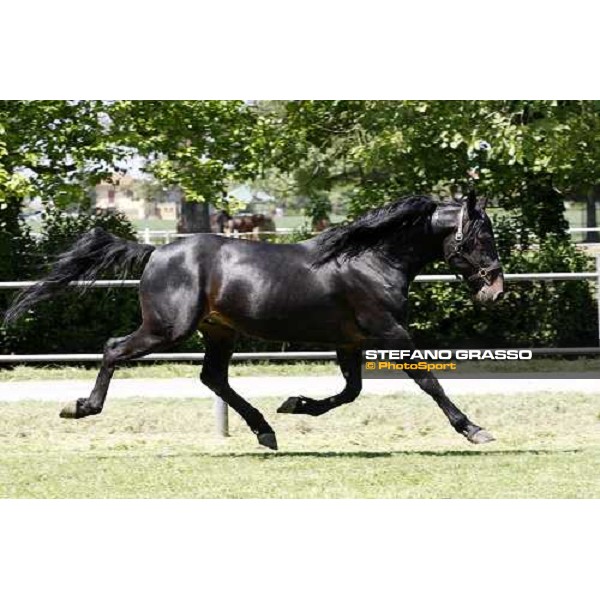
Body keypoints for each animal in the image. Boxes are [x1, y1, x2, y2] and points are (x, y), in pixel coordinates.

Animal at [4, 195, 504, 448]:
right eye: (480, 237)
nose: (495, 290)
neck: (369, 260)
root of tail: (156, 250)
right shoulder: (389, 332)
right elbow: (428, 381)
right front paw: (474, 430)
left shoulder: (351, 341)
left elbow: (350, 391)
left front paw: (297, 404)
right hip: (168, 329)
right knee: (112, 349)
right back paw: (80, 407)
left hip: (219, 331)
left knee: (213, 377)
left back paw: (266, 429)